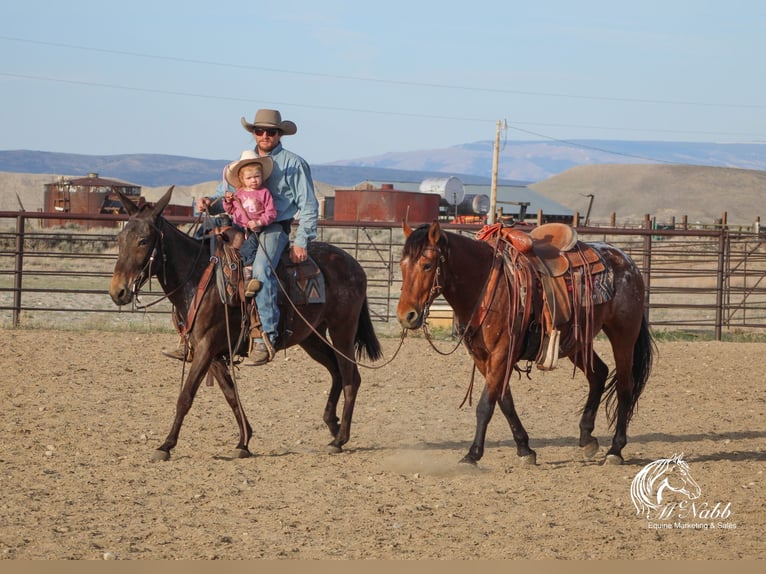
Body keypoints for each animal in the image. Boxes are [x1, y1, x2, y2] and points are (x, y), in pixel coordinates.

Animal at [108, 189, 384, 464]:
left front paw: (166, 445)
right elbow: (231, 395)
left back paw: (340, 439)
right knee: (336, 372)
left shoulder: (207, 346)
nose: (118, 292)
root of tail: (355, 265)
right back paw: (332, 425)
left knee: (351, 377)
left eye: (143, 240)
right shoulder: (211, 352)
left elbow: (186, 396)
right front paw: (244, 442)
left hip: (342, 331)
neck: (199, 280)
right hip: (311, 337)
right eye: (120, 238)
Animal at [400, 220, 656, 468]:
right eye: (402, 265)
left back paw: (615, 450)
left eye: (427, 265)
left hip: (623, 336)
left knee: (624, 387)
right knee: (599, 374)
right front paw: (525, 449)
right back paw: (586, 438)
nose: (406, 316)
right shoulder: (482, 357)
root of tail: (627, 261)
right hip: (576, 341)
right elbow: (505, 401)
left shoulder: (502, 353)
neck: (485, 285)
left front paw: (472, 455)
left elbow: (485, 405)